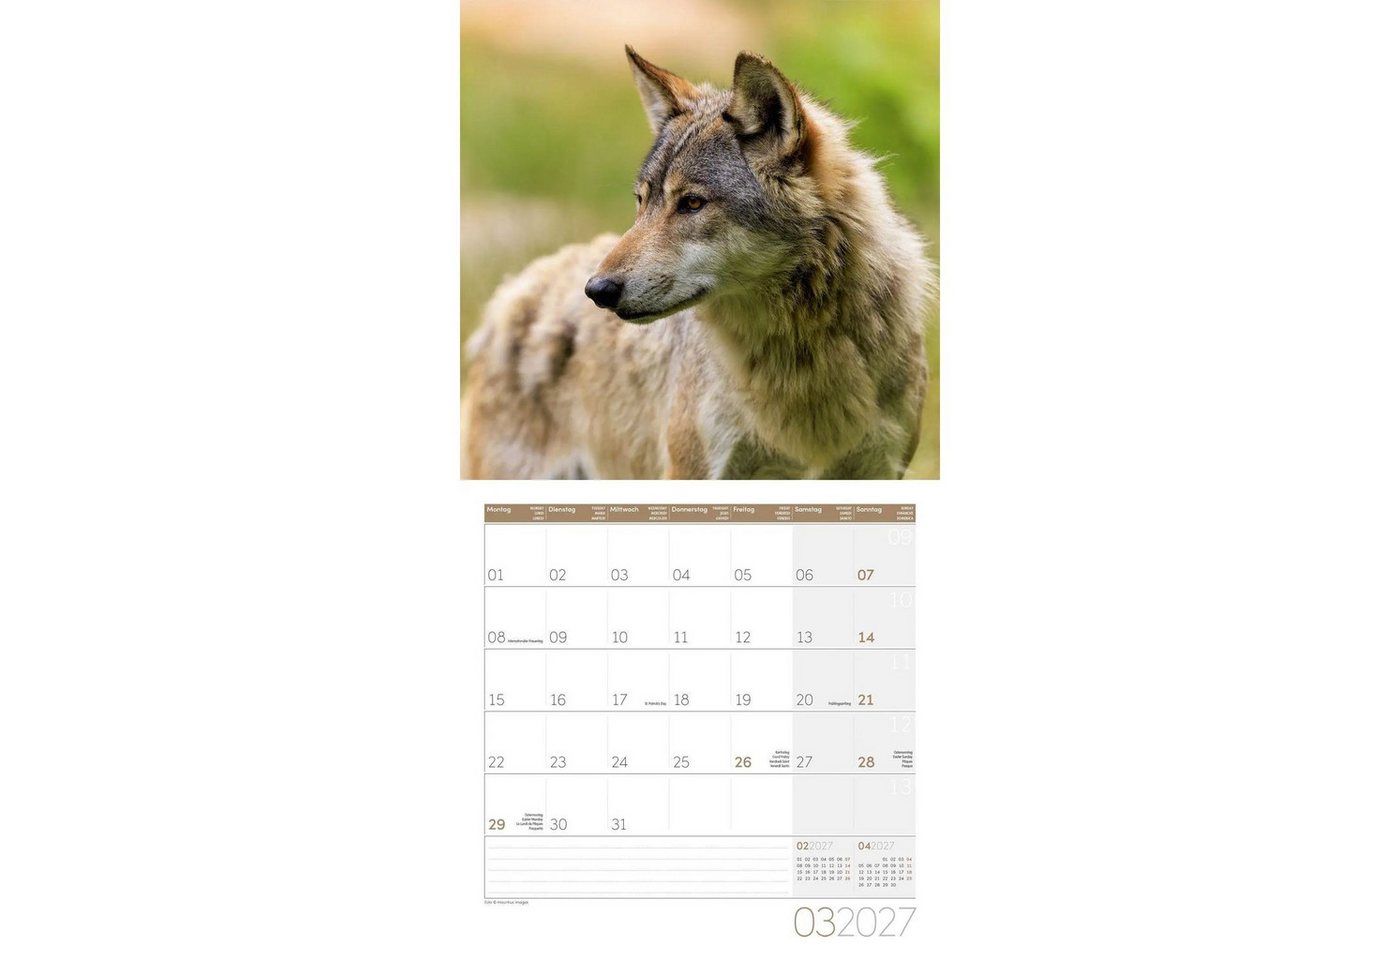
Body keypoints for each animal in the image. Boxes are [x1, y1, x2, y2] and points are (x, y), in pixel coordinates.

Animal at [462, 47, 934, 479]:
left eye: (691, 203)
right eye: (642, 201)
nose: (597, 290)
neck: (800, 350)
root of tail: (513, 291)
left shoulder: (880, 469)